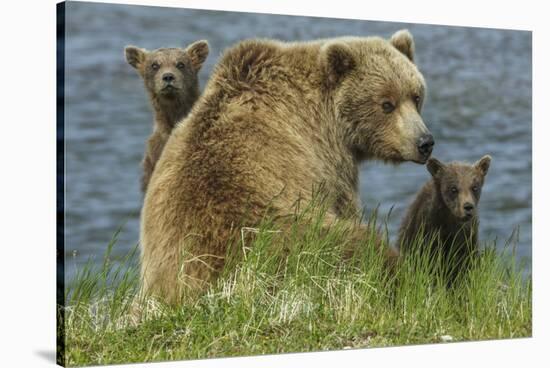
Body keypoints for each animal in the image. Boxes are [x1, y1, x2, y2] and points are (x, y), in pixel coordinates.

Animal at [139, 30, 436, 304]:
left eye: (415, 96)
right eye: (386, 103)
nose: (424, 142)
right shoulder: (326, 161)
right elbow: (345, 204)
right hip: (287, 239)